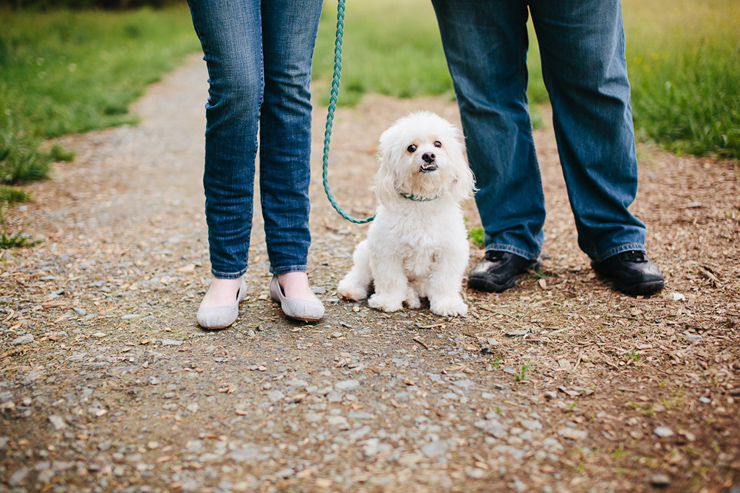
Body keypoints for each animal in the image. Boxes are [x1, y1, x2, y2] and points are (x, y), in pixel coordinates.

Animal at [338, 111, 476, 316]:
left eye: (438, 143)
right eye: (411, 148)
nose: (428, 155)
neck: (421, 200)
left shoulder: (450, 252)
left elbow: (444, 283)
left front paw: (448, 304)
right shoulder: (386, 251)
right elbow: (390, 280)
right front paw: (387, 301)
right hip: (365, 251)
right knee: (360, 273)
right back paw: (351, 289)